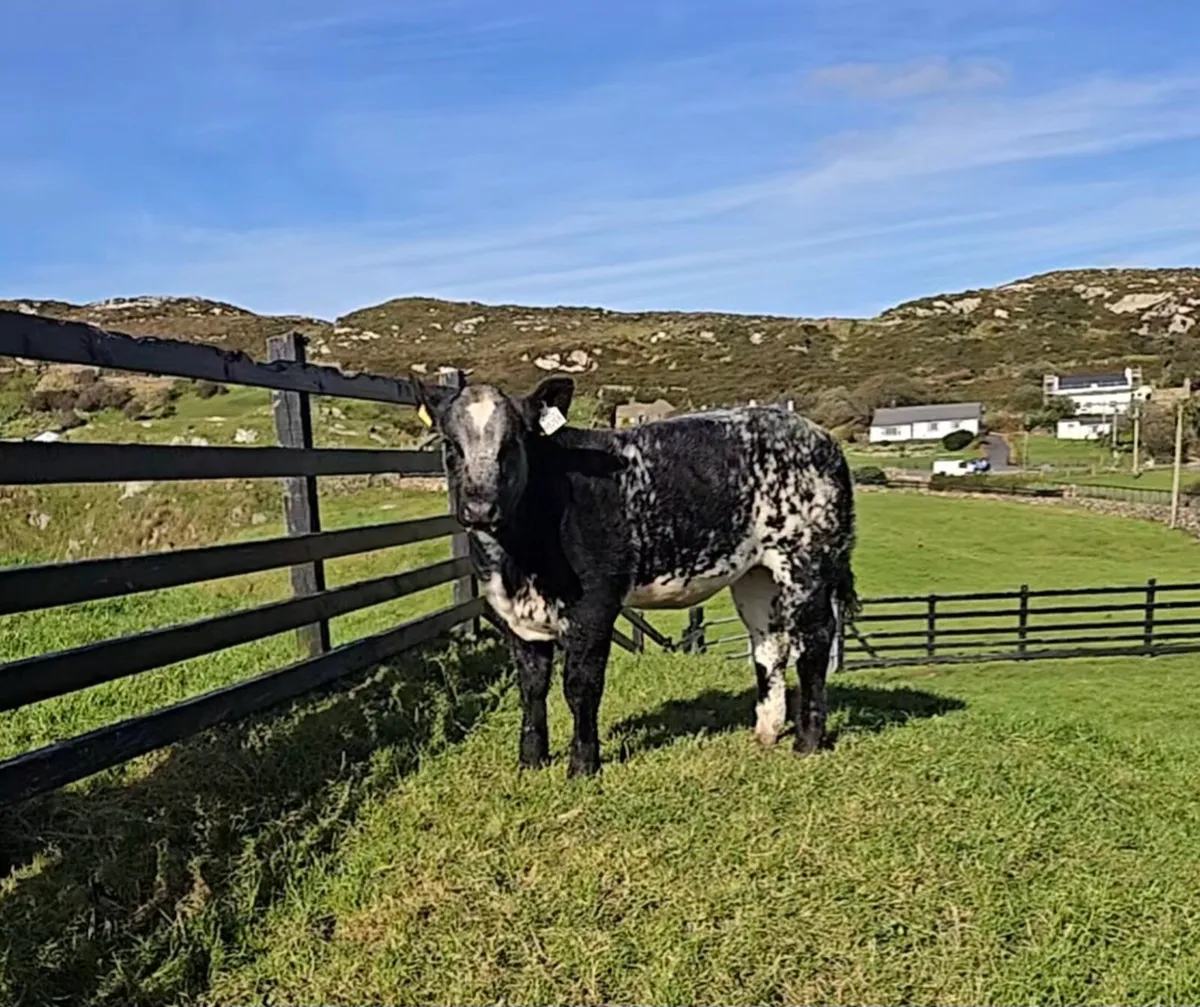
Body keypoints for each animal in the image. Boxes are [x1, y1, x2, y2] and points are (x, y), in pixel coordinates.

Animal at [413, 375, 857, 778]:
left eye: (512, 444)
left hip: (807, 562)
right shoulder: (517, 617)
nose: (479, 508)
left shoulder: (594, 605)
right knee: (769, 644)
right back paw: (766, 731)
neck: (517, 562)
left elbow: (580, 685)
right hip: (756, 575)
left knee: (815, 642)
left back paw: (808, 741)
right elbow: (532, 687)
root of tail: (819, 435)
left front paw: (583, 766)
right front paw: (531, 762)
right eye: (450, 446)